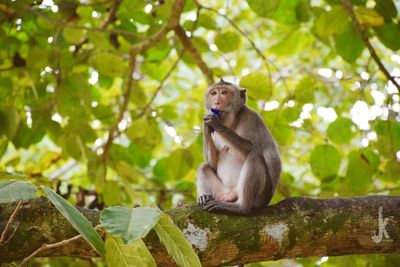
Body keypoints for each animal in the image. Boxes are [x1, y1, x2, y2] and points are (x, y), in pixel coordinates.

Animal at [197, 78, 282, 215]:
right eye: (214, 93)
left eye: (224, 93)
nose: (216, 102)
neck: (231, 122)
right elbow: (212, 164)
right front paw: (206, 125)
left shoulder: (252, 118)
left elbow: (251, 147)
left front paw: (216, 123)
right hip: (223, 191)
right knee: (204, 167)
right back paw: (205, 197)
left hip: (260, 197)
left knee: (255, 155)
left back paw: (241, 207)